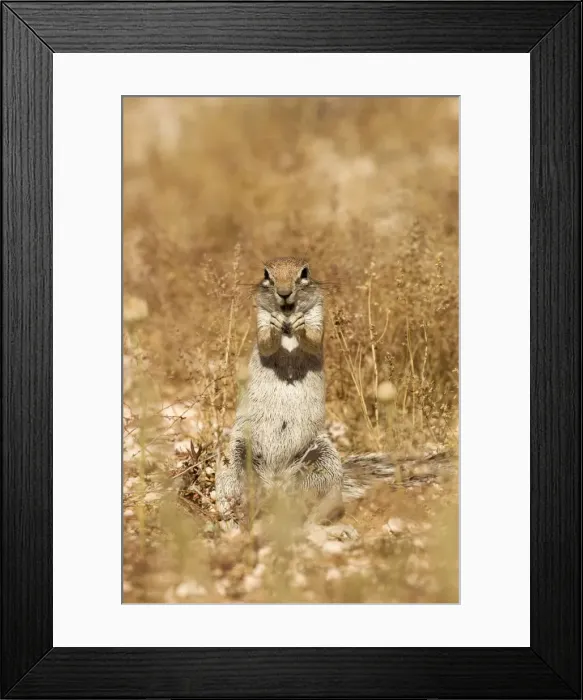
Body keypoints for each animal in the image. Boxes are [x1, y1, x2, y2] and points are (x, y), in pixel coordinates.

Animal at [215, 257, 450, 525]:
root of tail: (277, 485)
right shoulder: (261, 319)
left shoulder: (319, 315)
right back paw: (233, 515)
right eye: (267, 274)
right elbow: (266, 342)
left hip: (323, 459)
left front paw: (302, 326)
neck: (288, 324)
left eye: (304, 273)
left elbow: (313, 338)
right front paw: (274, 328)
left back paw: (312, 519)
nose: (284, 293)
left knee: (322, 498)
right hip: (234, 456)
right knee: (234, 487)